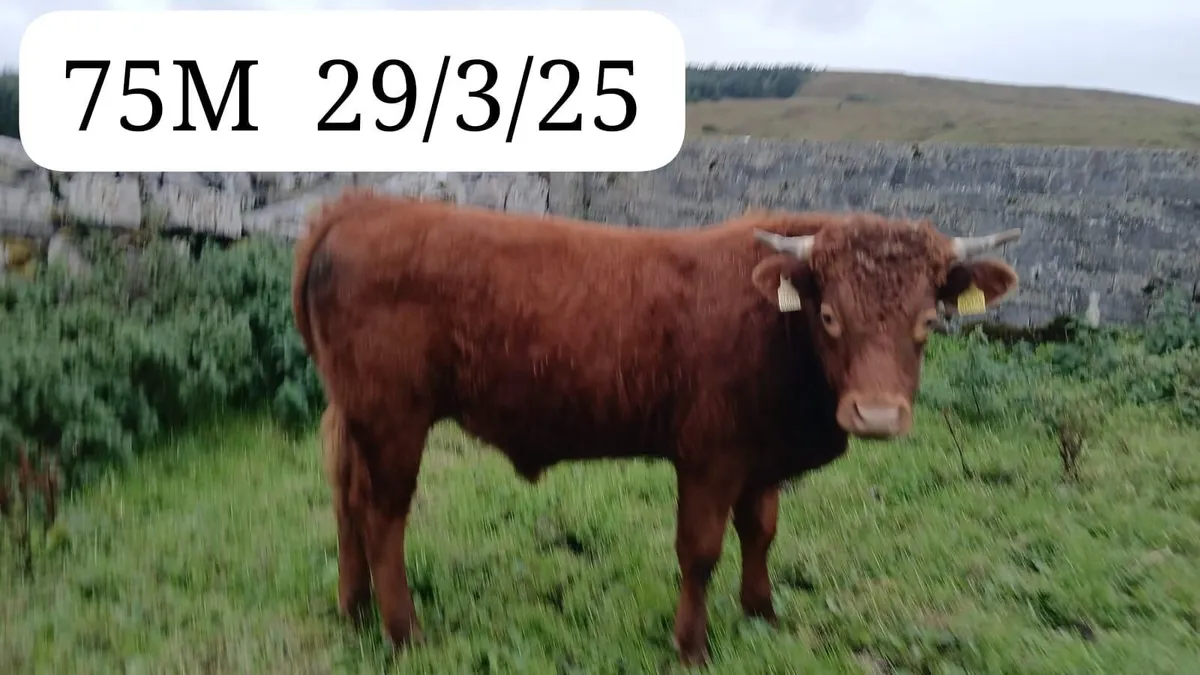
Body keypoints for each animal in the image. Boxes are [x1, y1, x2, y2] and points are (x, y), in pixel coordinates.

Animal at [292, 189, 1021, 666]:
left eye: (927, 319)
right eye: (830, 315)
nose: (876, 414)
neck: (772, 322)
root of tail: (361, 205)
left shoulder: (759, 458)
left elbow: (761, 531)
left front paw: (761, 612)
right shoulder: (708, 455)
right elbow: (699, 551)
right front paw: (691, 644)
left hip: (352, 413)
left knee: (344, 498)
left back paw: (354, 609)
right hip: (394, 418)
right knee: (382, 514)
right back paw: (403, 631)